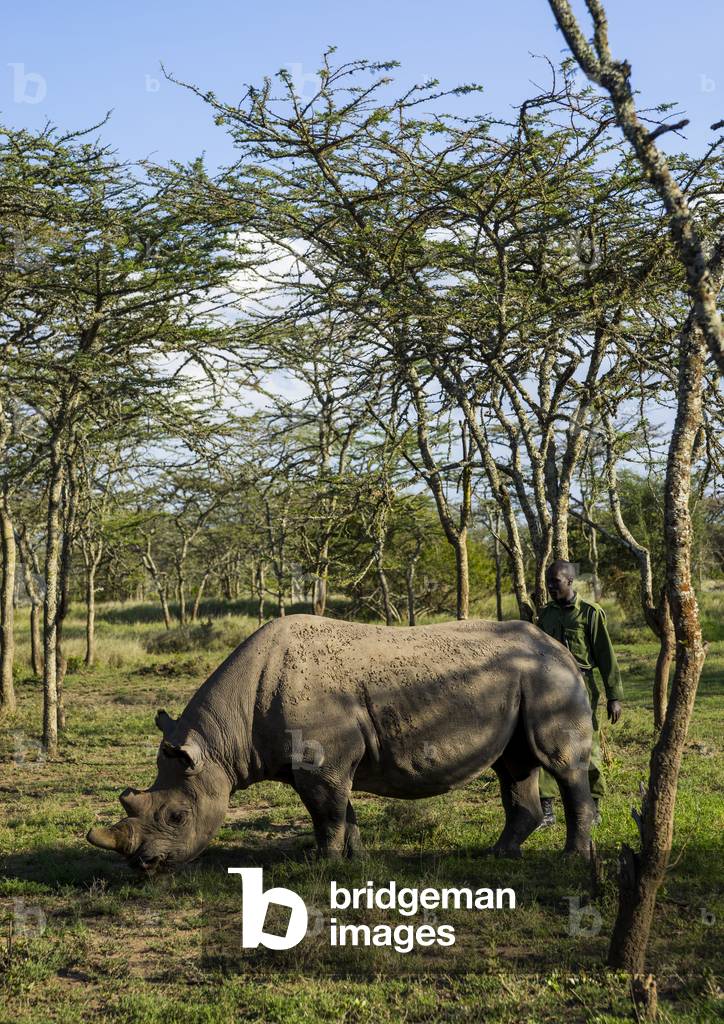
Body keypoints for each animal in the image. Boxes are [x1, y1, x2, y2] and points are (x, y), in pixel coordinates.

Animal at [87, 615, 595, 871]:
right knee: (514, 764)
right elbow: (341, 812)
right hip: (526, 678)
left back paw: (571, 859)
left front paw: (321, 866)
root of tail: (559, 645)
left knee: (560, 765)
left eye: (177, 816)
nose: (144, 868)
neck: (221, 743)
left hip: (549, 675)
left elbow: (326, 815)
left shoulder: (322, 761)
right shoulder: (325, 762)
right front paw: (356, 861)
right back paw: (500, 855)